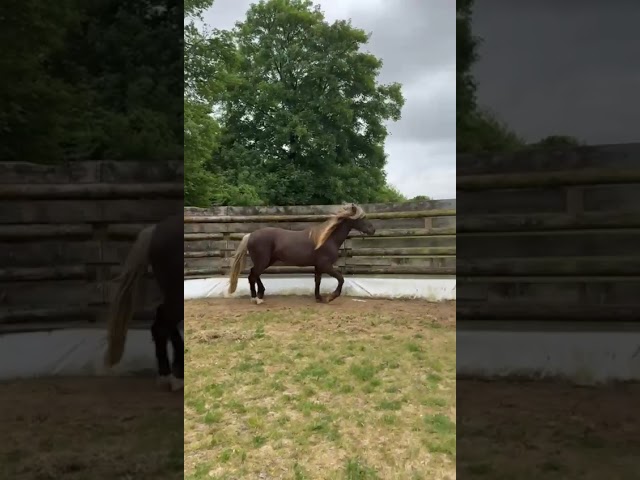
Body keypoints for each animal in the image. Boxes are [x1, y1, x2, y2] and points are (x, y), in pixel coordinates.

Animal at [227, 203, 376, 304]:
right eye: (361, 218)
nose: (372, 230)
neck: (327, 239)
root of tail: (250, 235)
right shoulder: (326, 265)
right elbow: (341, 279)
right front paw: (331, 297)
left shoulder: (318, 266)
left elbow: (318, 281)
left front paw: (319, 298)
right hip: (263, 261)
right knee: (252, 275)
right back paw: (256, 299)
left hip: (267, 261)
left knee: (255, 274)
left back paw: (261, 294)